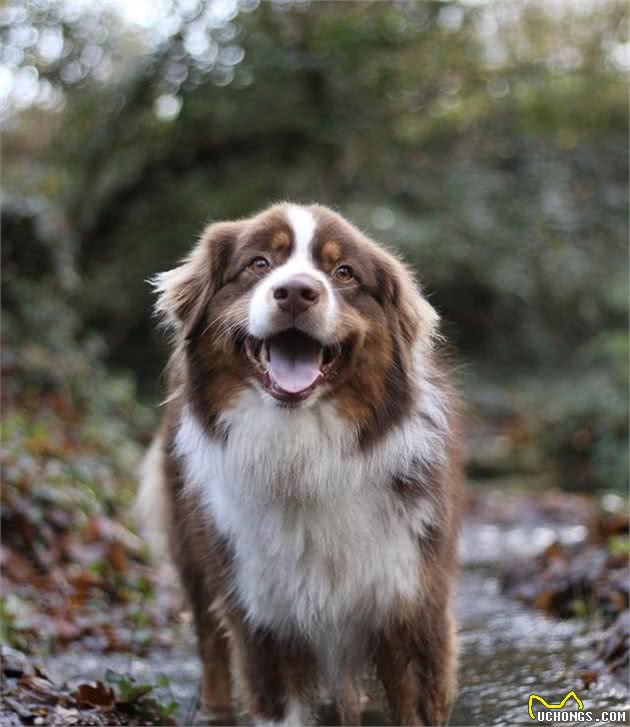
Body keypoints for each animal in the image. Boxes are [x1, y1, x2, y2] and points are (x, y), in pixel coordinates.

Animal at [138, 203, 464, 727]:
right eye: (258, 264)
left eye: (343, 272)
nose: (295, 292)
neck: (304, 453)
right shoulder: (264, 618)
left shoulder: (411, 605)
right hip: (196, 546)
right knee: (210, 639)